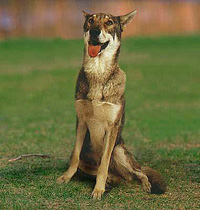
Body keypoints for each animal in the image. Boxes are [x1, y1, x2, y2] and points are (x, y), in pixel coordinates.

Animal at [57, 10, 166, 200]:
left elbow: (104, 164)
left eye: (109, 22)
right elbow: (75, 158)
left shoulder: (112, 127)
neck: (98, 72)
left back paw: (145, 184)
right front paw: (66, 177)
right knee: (116, 175)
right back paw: (111, 181)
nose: (94, 31)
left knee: (139, 172)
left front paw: (98, 190)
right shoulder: (81, 122)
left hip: (119, 151)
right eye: (90, 21)